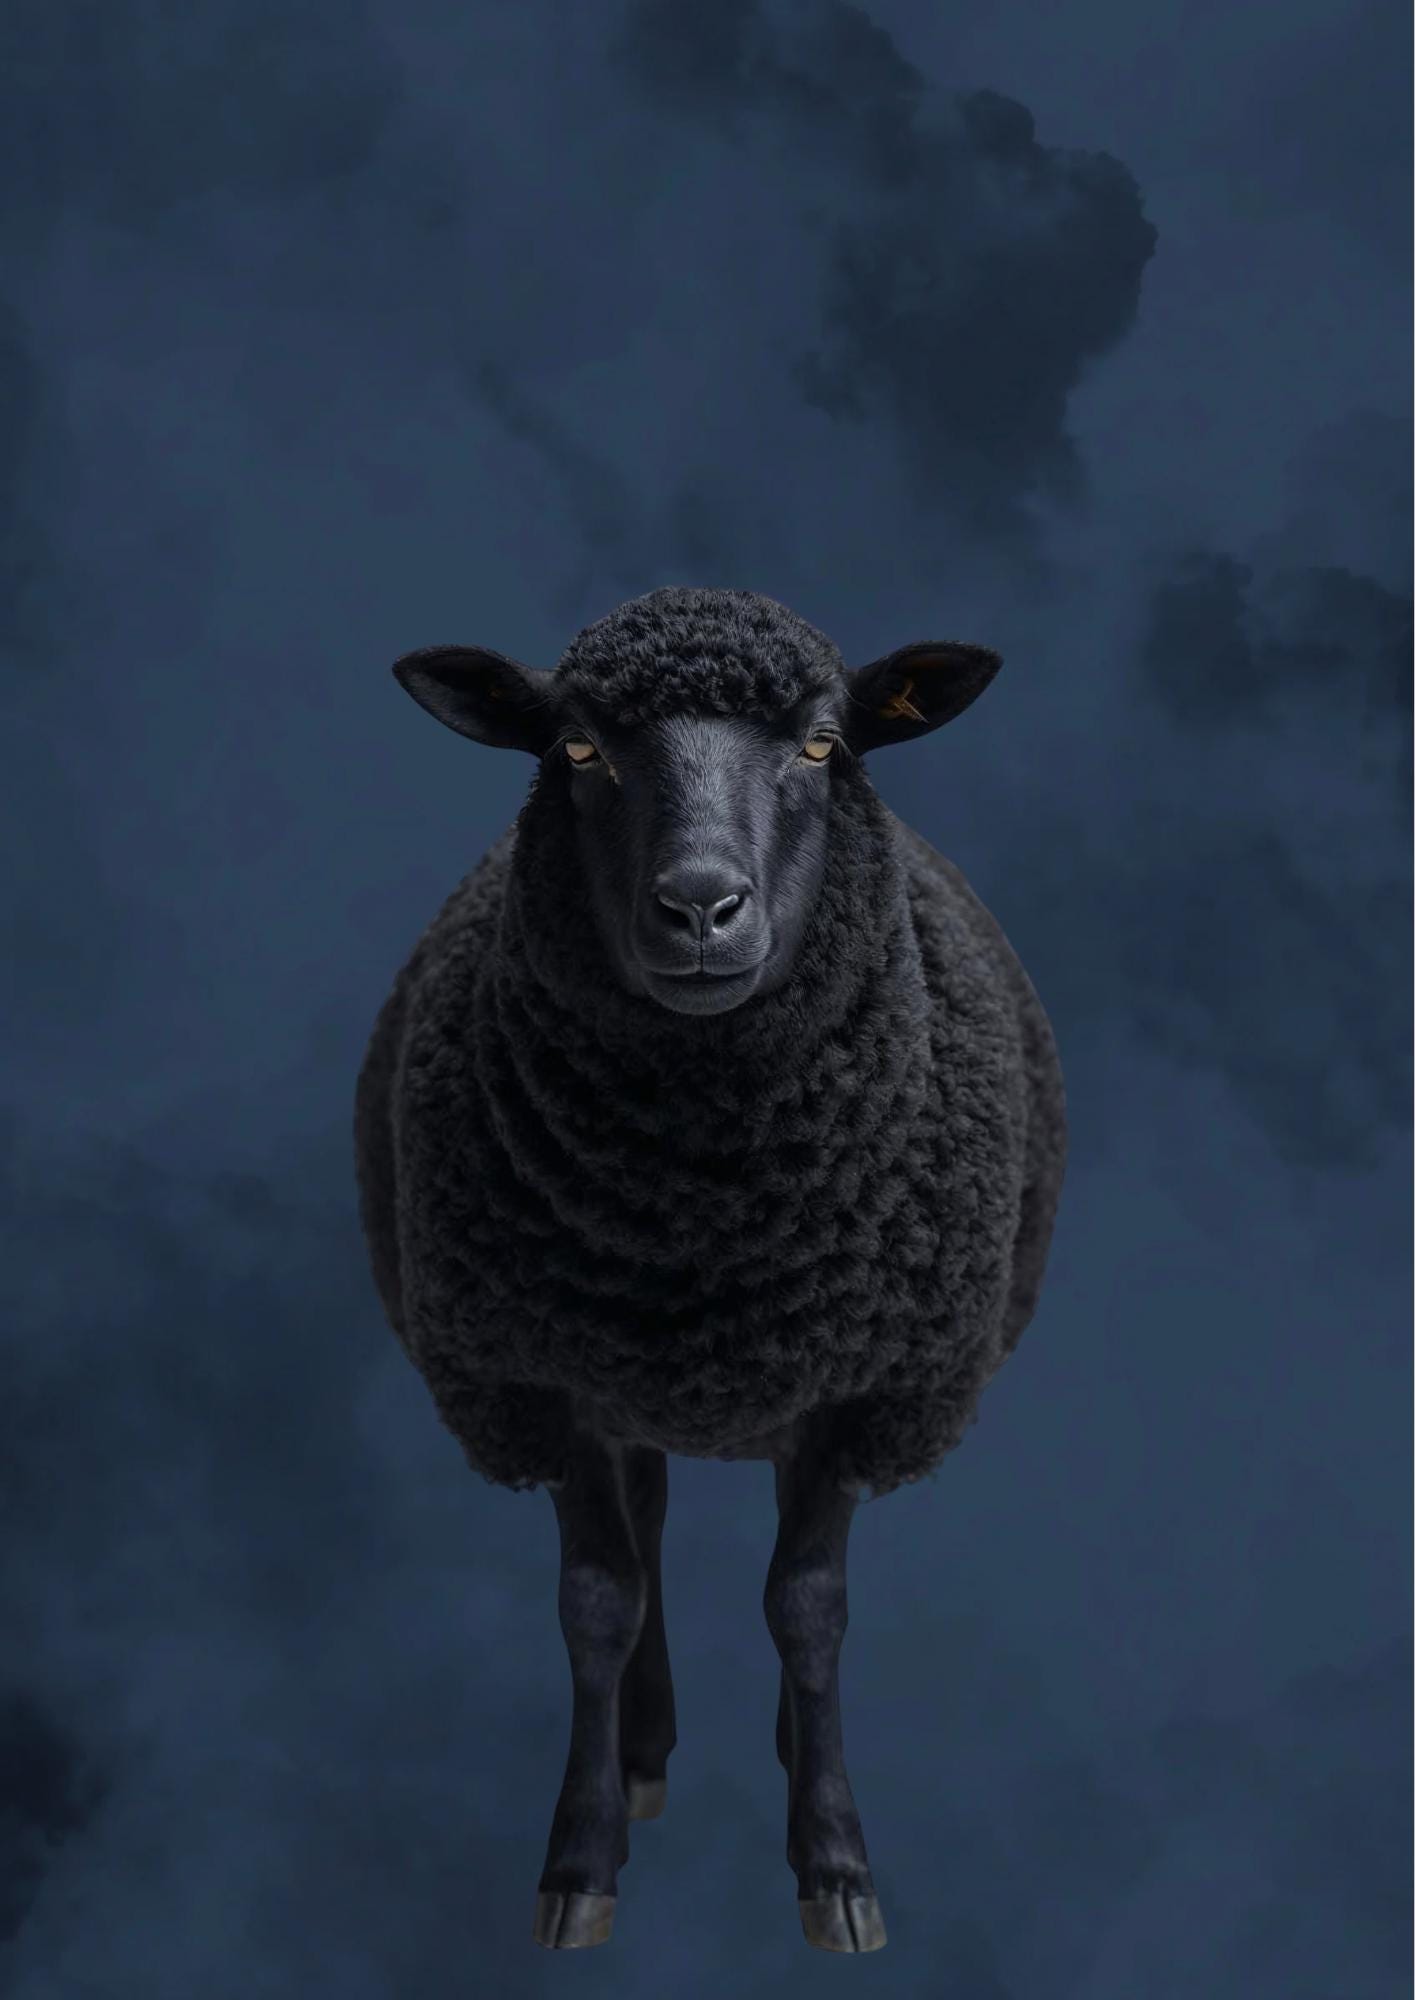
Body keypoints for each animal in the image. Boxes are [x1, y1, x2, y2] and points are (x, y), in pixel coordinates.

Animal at [353, 583, 1067, 1954]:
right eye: (576, 746)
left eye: (823, 744)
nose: (698, 907)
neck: (707, 1215)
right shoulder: (553, 1376)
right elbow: (597, 1598)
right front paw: (581, 1858)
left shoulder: (854, 1383)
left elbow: (808, 1603)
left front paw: (833, 1863)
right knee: (648, 1532)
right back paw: (642, 1753)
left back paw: (788, 1745)